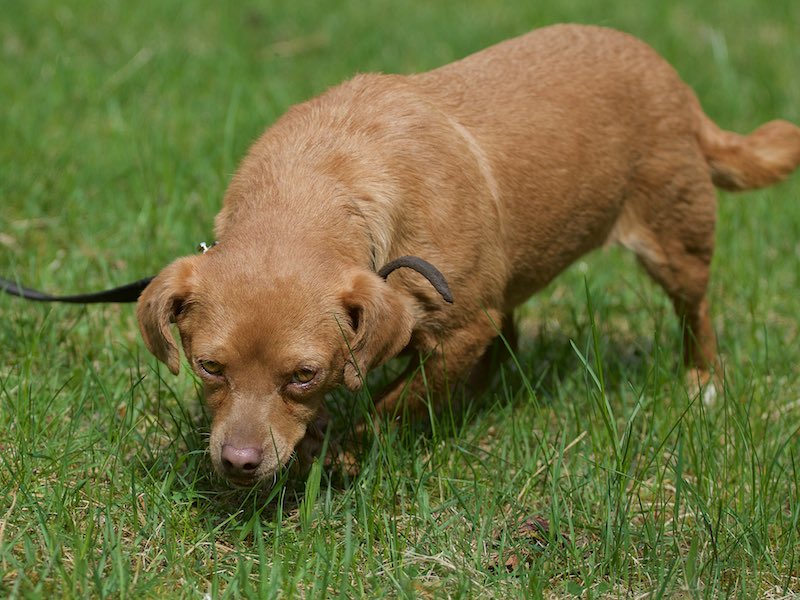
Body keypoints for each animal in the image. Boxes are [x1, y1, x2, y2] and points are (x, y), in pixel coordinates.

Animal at [136, 24, 800, 485]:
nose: (238, 463)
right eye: (208, 367)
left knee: (696, 310)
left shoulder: (460, 327)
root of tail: (677, 84)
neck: (319, 185)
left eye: (304, 374)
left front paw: (346, 450)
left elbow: (393, 405)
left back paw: (701, 381)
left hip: (675, 238)